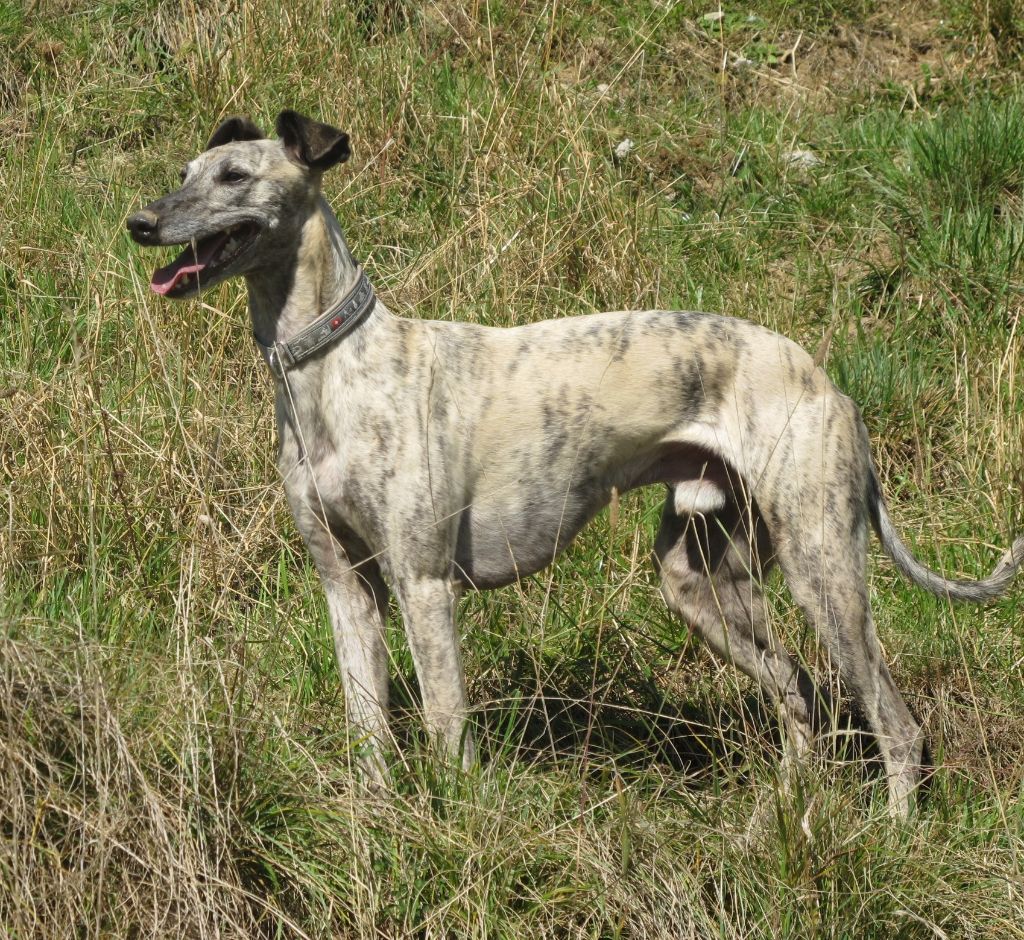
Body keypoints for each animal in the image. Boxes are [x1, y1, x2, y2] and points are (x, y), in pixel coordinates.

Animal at [130, 108, 1024, 815]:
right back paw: (782, 823)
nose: (139, 222)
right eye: (183, 173)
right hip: (702, 582)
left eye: (235, 175)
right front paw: (375, 827)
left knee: (895, 723)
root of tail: (829, 383)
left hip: (822, 569)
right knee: (800, 697)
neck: (332, 367)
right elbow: (368, 729)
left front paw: (456, 830)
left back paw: (891, 838)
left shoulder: (424, 584)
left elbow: (447, 724)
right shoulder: (346, 586)